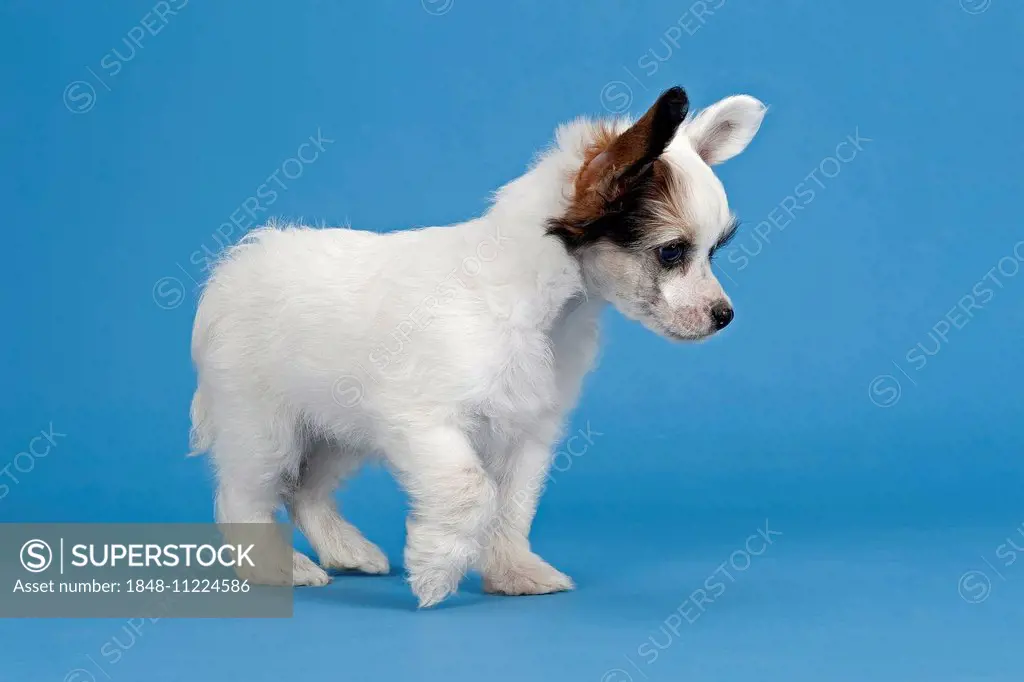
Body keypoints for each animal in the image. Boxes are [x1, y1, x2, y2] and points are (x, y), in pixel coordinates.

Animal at [192, 86, 765, 606]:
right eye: (671, 252)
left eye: (713, 251)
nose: (725, 316)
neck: (539, 305)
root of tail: (236, 267)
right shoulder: (425, 423)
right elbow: (471, 490)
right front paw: (436, 569)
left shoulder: (526, 434)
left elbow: (510, 505)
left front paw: (512, 571)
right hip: (265, 428)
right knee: (243, 496)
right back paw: (278, 566)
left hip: (336, 427)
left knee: (308, 491)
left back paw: (345, 551)